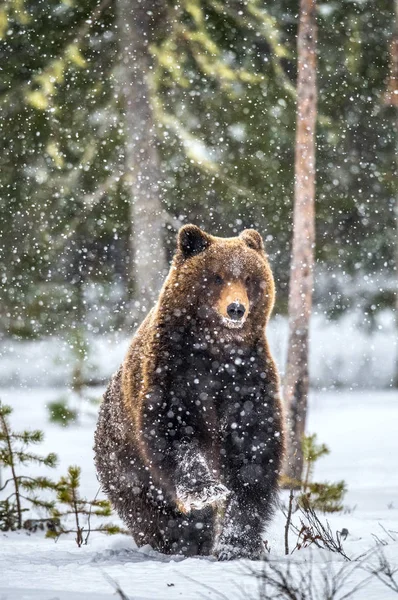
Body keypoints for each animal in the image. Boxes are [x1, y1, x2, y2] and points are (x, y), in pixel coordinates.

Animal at [93, 224, 284, 556]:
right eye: (217, 276)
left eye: (248, 277)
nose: (236, 309)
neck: (214, 349)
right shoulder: (173, 374)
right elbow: (175, 433)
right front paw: (206, 490)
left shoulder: (247, 378)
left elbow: (252, 452)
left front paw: (237, 544)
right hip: (125, 464)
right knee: (151, 512)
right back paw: (178, 542)